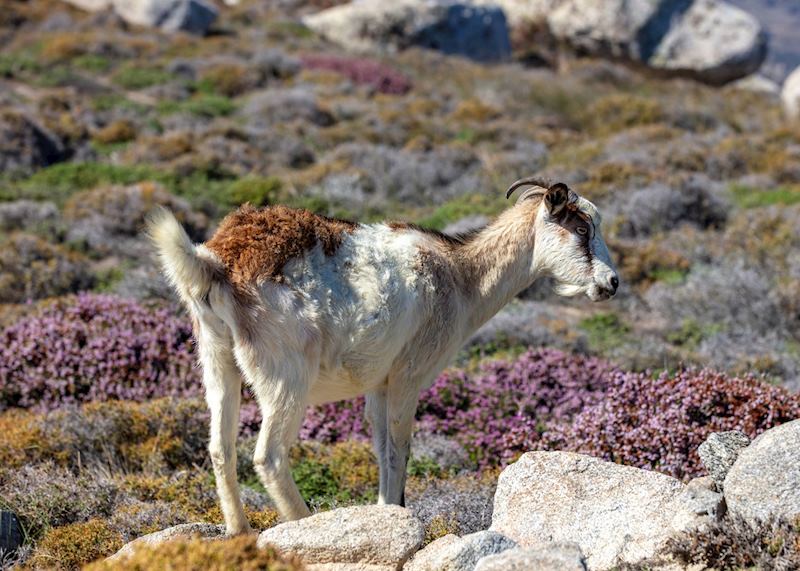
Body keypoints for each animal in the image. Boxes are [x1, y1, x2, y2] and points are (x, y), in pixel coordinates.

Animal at [148, 177, 619, 534]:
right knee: (269, 455)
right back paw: (303, 523)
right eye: (581, 229)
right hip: (285, 375)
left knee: (220, 448)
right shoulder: (408, 376)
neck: (459, 276)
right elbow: (399, 450)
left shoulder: (376, 385)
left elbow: (380, 449)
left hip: (216, 361)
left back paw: (239, 532)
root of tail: (217, 264)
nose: (611, 283)